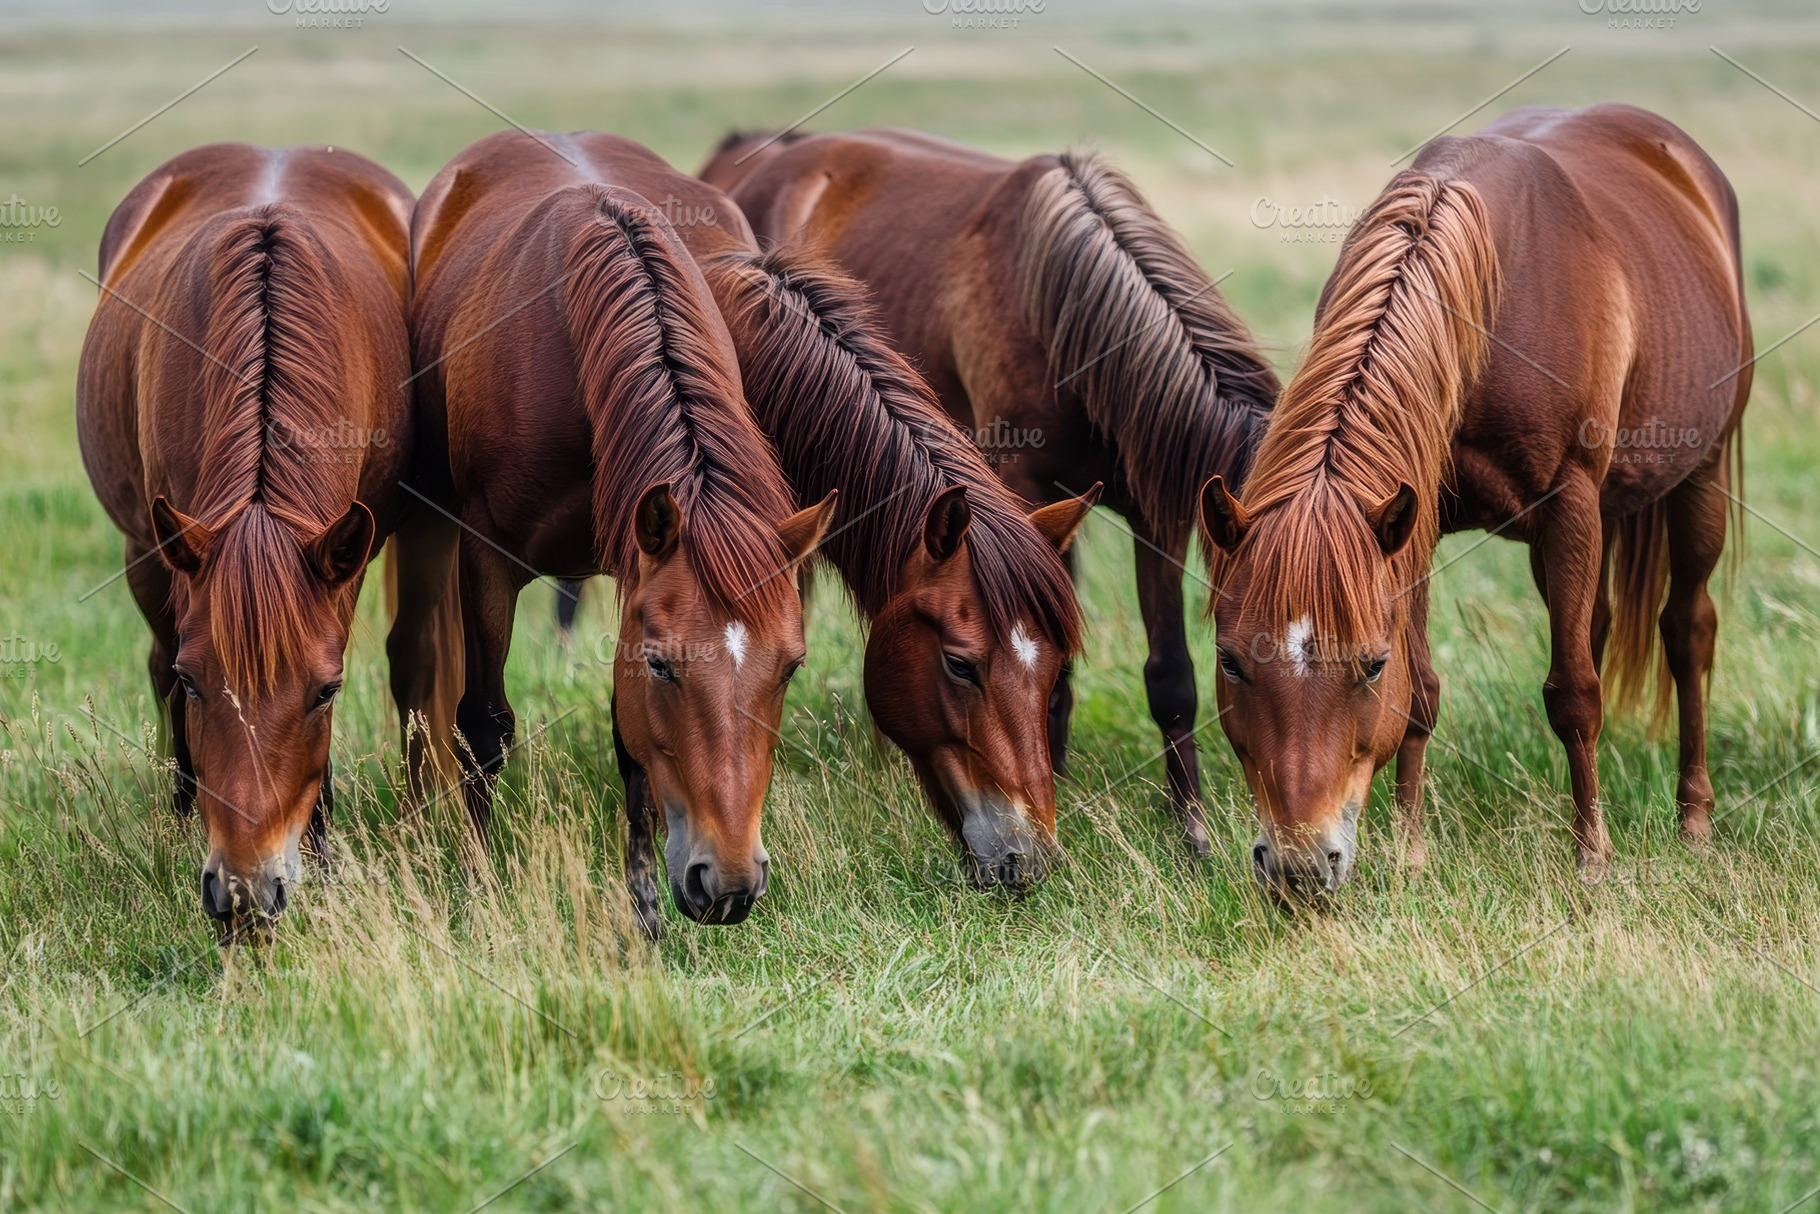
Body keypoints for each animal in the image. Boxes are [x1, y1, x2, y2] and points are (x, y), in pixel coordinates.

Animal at [77, 143, 417, 928]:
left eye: (325, 692)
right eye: (195, 683)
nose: (243, 894)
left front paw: (320, 846)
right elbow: (164, 672)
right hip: (144, 554)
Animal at [398, 130, 834, 934]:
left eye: (791, 667)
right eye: (662, 666)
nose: (729, 883)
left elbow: (630, 746)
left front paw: (646, 914)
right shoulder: (486, 559)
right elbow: (483, 726)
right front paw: (474, 887)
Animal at [701, 127, 1281, 856]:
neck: (1069, 322)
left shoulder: (1155, 513)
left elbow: (1168, 672)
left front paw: (1191, 832)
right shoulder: (1021, 490)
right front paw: (1047, 790)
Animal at [1195, 104, 1752, 895]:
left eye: (1370, 665)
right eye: (1232, 662)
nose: (1300, 867)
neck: (1485, 309)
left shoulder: (1571, 502)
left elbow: (1574, 691)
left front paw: (1592, 858)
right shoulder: (1412, 524)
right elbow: (1425, 695)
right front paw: (1410, 851)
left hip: (1699, 475)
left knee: (1688, 632)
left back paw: (1694, 819)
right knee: (1597, 624)